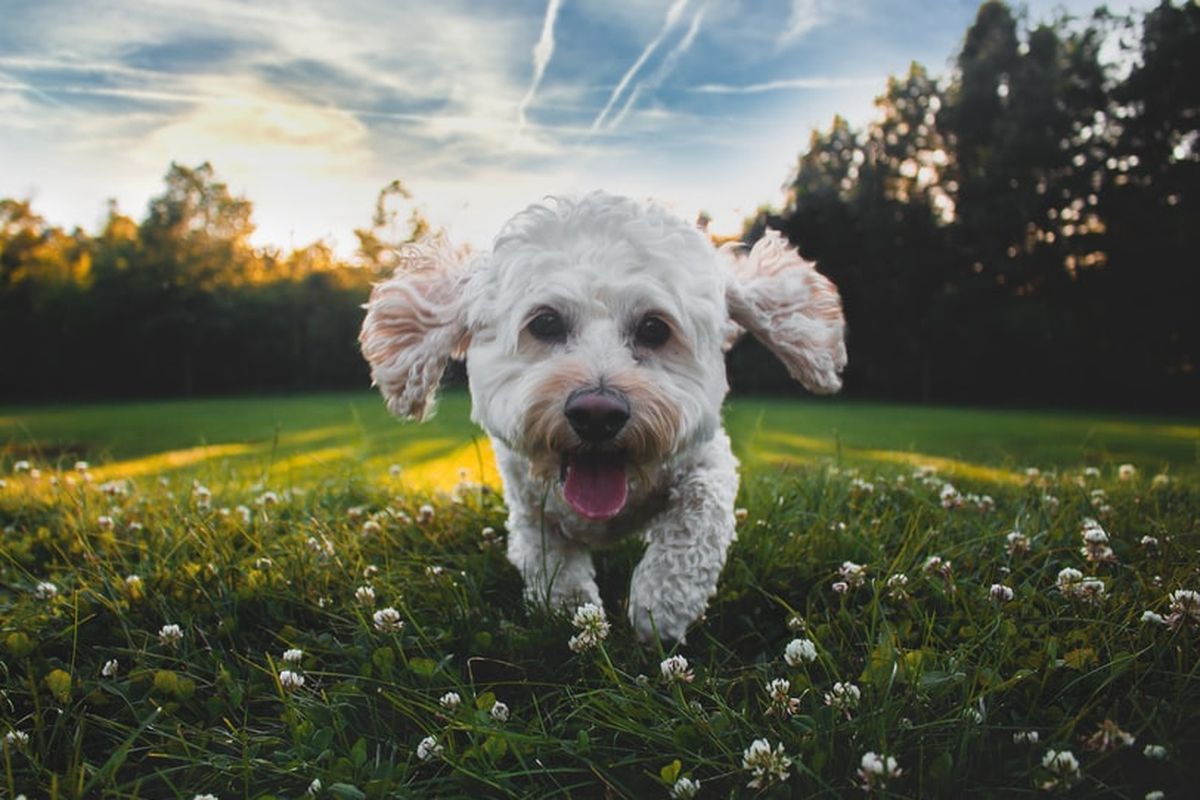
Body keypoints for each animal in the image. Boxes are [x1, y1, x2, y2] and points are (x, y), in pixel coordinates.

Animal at [355, 194, 844, 642]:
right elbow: (552, 562)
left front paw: (659, 607)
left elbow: (696, 518)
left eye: (654, 328)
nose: (597, 414)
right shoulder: (529, 505)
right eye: (545, 322)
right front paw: (575, 615)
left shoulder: (707, 459)